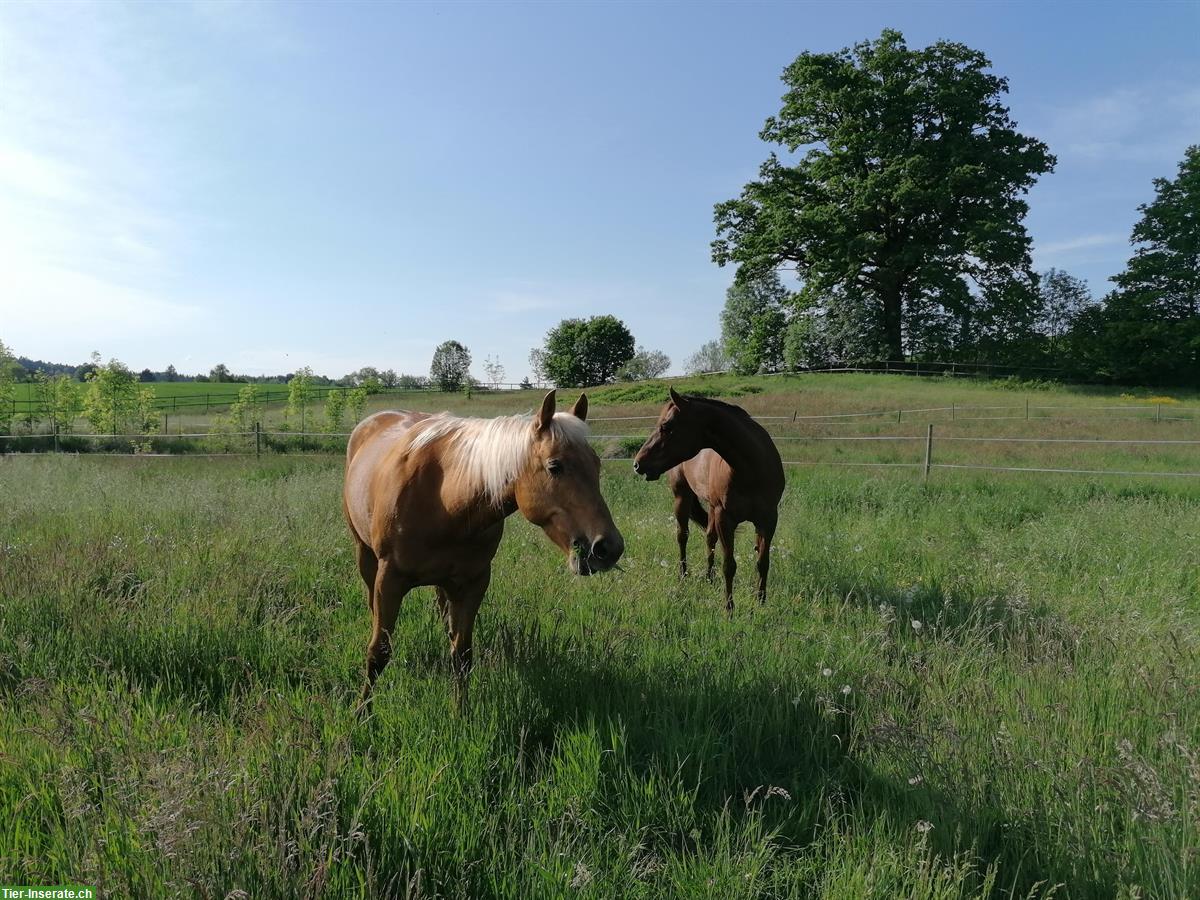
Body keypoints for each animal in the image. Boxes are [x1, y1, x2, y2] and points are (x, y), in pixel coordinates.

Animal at [343, 391, 624, 710]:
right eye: (555, 466)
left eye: (596, 464)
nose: (608, 547)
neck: (443, 500)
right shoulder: (390, 580)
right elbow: (379, 652)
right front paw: (362, 711)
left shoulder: (473, 583)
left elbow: (462, 655)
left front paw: (461, 712)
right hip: (365, 556)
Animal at [633, 388, 782, 614]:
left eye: (666, 426)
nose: (638, 464)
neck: (752, 468)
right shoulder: (725, 518)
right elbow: (729, 565)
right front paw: (729, 608)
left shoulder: (768, 519)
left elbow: (762, 562)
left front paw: (761, 601)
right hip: (683, 498)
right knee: (682, 536)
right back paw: (683, 574)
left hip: (711, 508)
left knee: (709, 539)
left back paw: (709, 577)